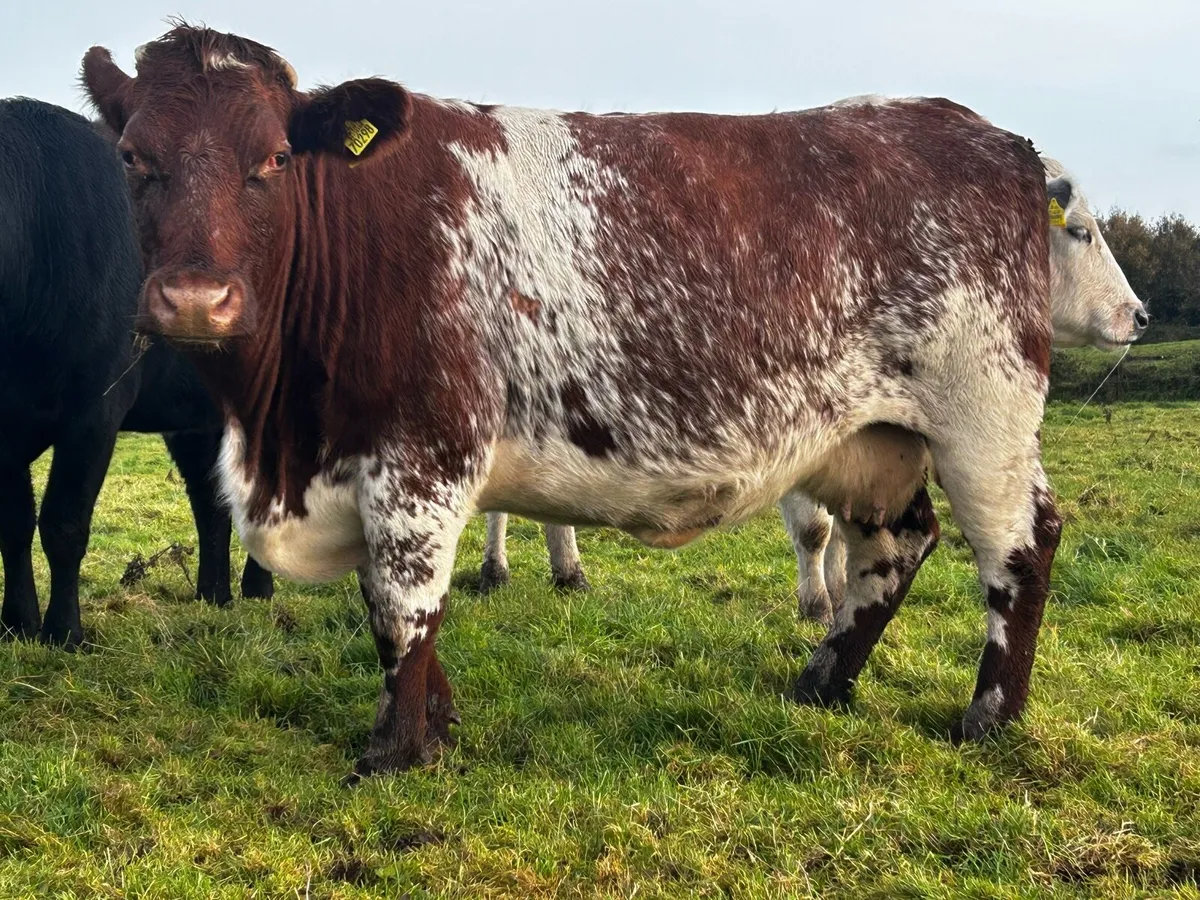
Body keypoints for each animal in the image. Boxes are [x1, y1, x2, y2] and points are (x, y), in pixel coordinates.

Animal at [0, 97, 271, 647]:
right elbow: (13, 526)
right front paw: (16, 623)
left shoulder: (96, 409)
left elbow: (63, 523)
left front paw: (64, 632)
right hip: (197, 418)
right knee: (210, 501)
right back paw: (214, 595)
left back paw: (258, 587)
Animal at [83, 26, 1149, 778]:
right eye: (132, 156)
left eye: (271, 159)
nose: (195, 299)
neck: (281, 439)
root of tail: (988, 134)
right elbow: (395, 607)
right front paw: (440, 722)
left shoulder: (422, 458)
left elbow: (402, 605)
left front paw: (396, 753)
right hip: (872, 438)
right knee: (893, 549)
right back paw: (819, 684)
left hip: (984, 417)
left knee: (1020, 548)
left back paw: (988, 720)